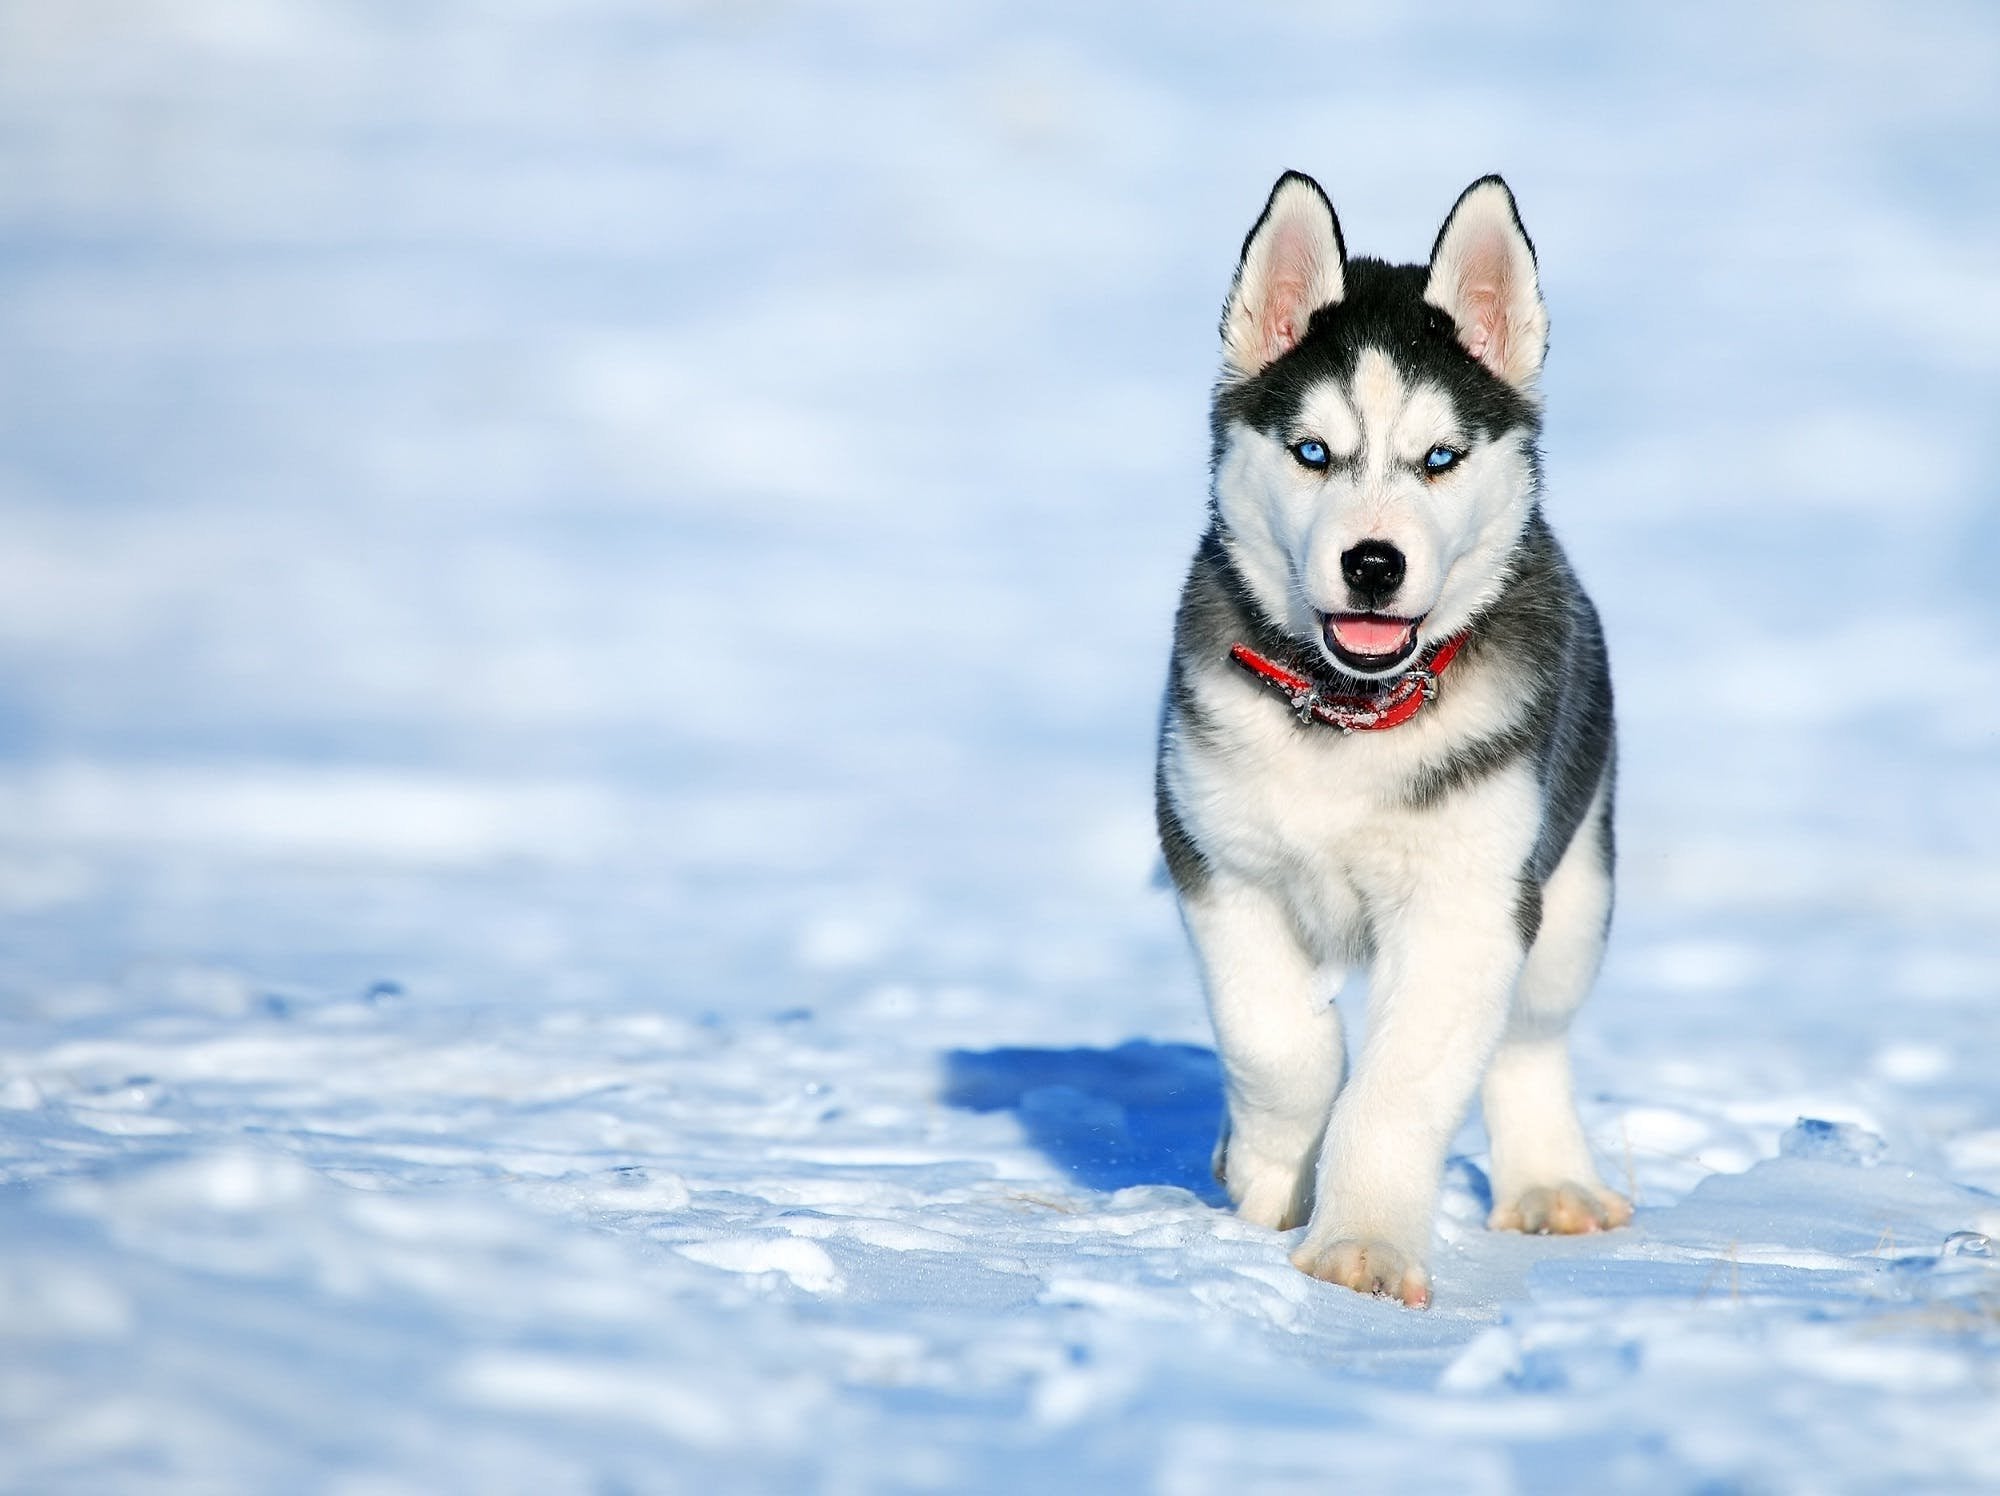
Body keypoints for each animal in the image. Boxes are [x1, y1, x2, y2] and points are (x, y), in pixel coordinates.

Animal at [1160, 169, 1624, 1304]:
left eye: (1440, 458)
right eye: (1312, 453)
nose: (1373, 562)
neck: (1351, 714)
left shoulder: (1468, 903)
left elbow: (1400, 1083)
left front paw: (1359, 1244)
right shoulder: (1217, 861)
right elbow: (1277, 1041)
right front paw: (1268, 1168)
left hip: (1573, 882)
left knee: (1529, 1037)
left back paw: (1551, 1182)